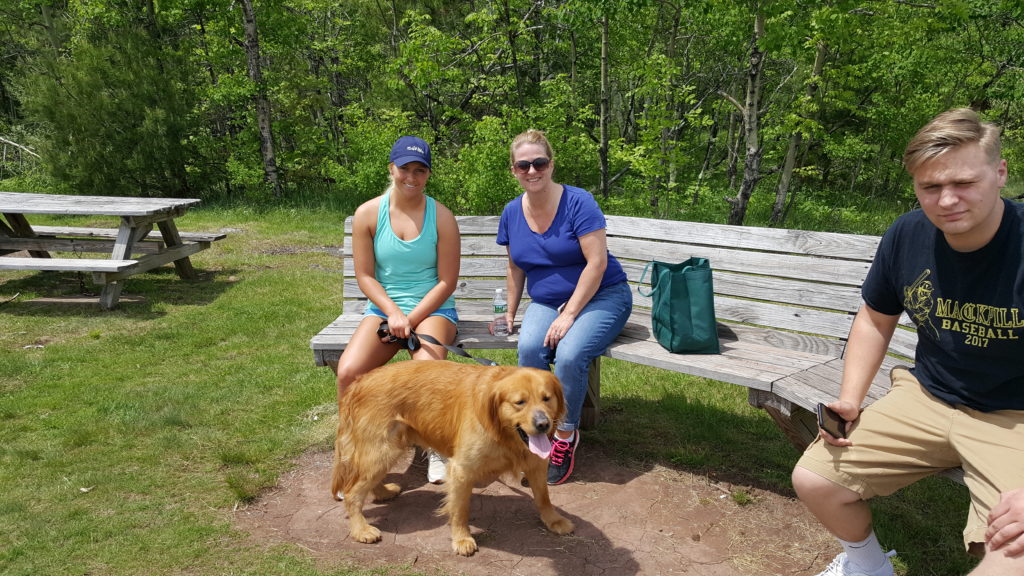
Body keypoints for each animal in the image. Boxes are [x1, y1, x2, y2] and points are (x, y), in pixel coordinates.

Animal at [335, 358, 577, 553]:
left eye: (547, 398)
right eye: (520, 402)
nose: (544, 424)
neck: (502, 432)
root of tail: (360, 381)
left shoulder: (536, 463)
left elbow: (544, 497)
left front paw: (553, 520)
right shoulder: (461, 469)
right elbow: (460, 509)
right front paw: (462, 539)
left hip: (385, 451)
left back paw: (383, 492)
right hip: (382, 450)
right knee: (352, 493)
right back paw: (361, 529)